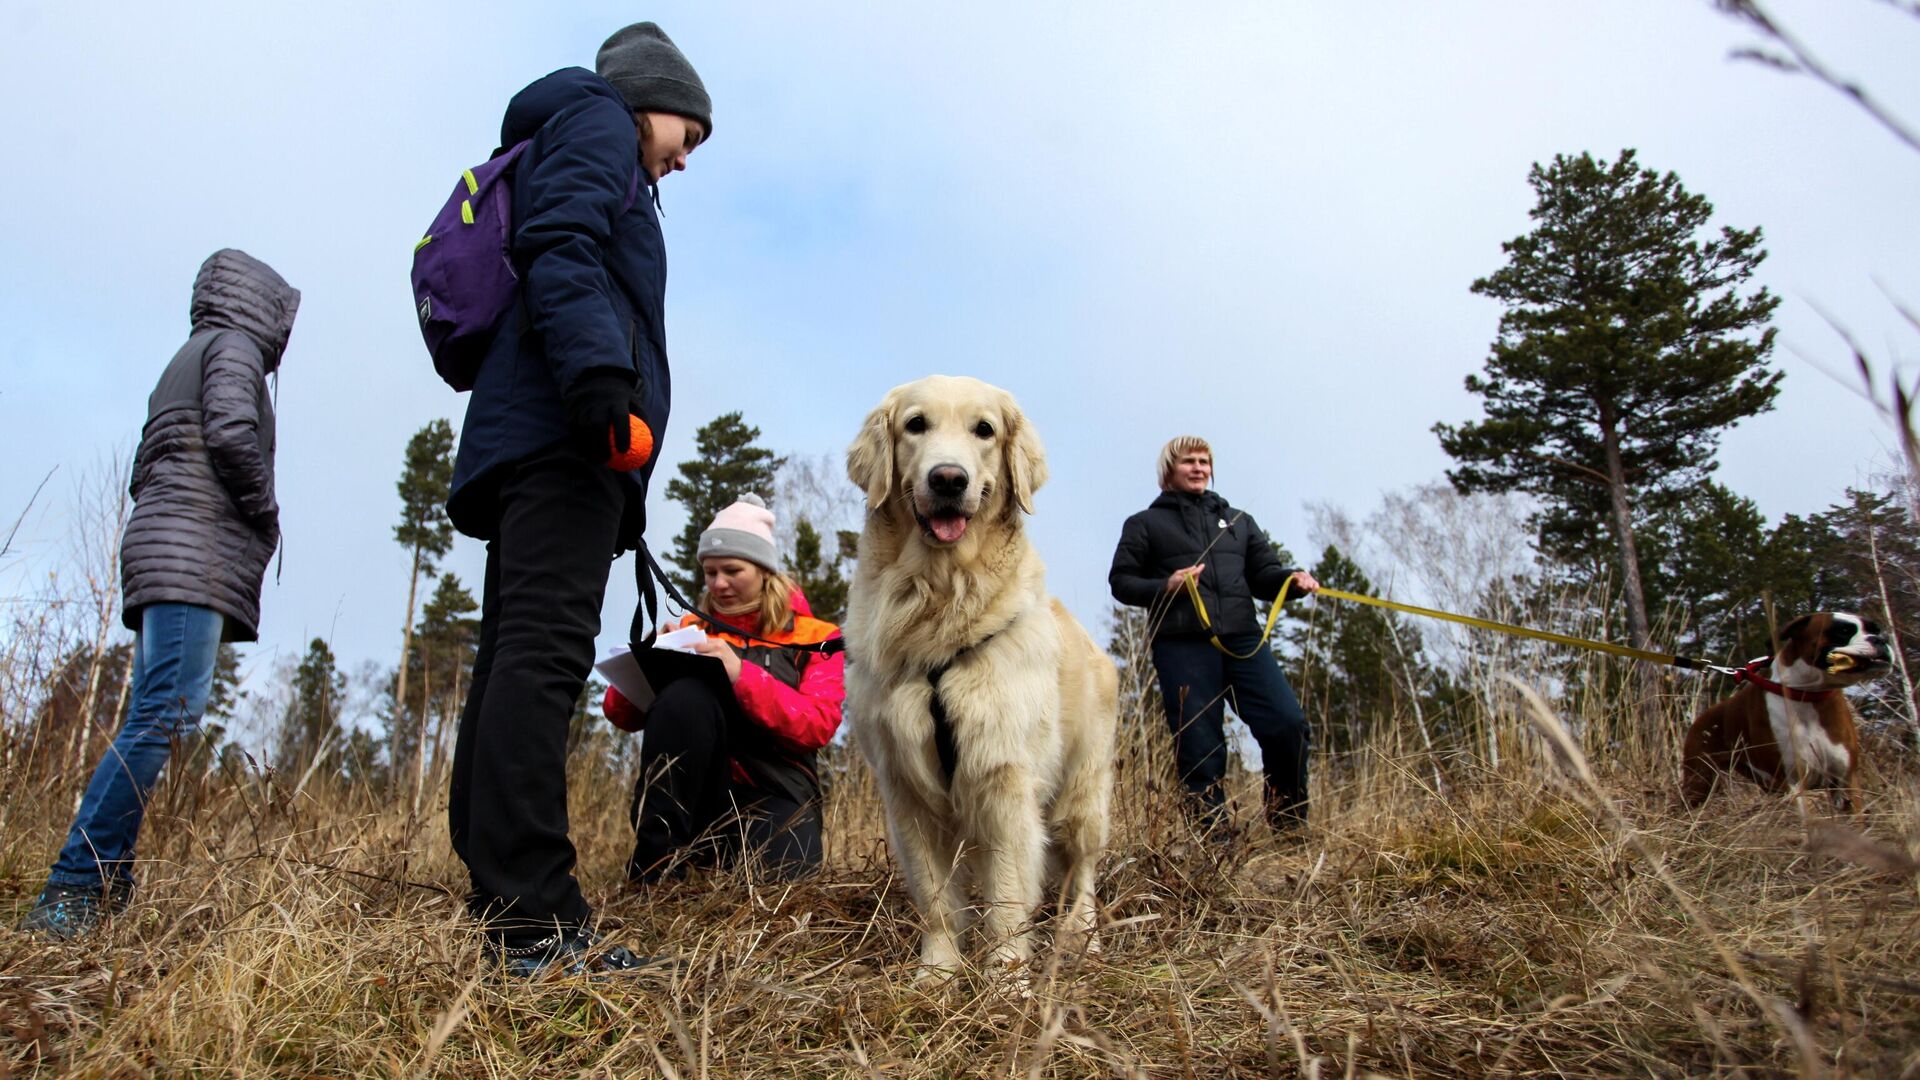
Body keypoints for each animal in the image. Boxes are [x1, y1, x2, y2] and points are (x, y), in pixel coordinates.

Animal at [1681, 611, 1889, 810]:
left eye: (1876, 630)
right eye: (1843, 631)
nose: (1880, 639)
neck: (1808, 694)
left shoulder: (1845, 781)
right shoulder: (1792, 784)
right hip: (1699, 784)